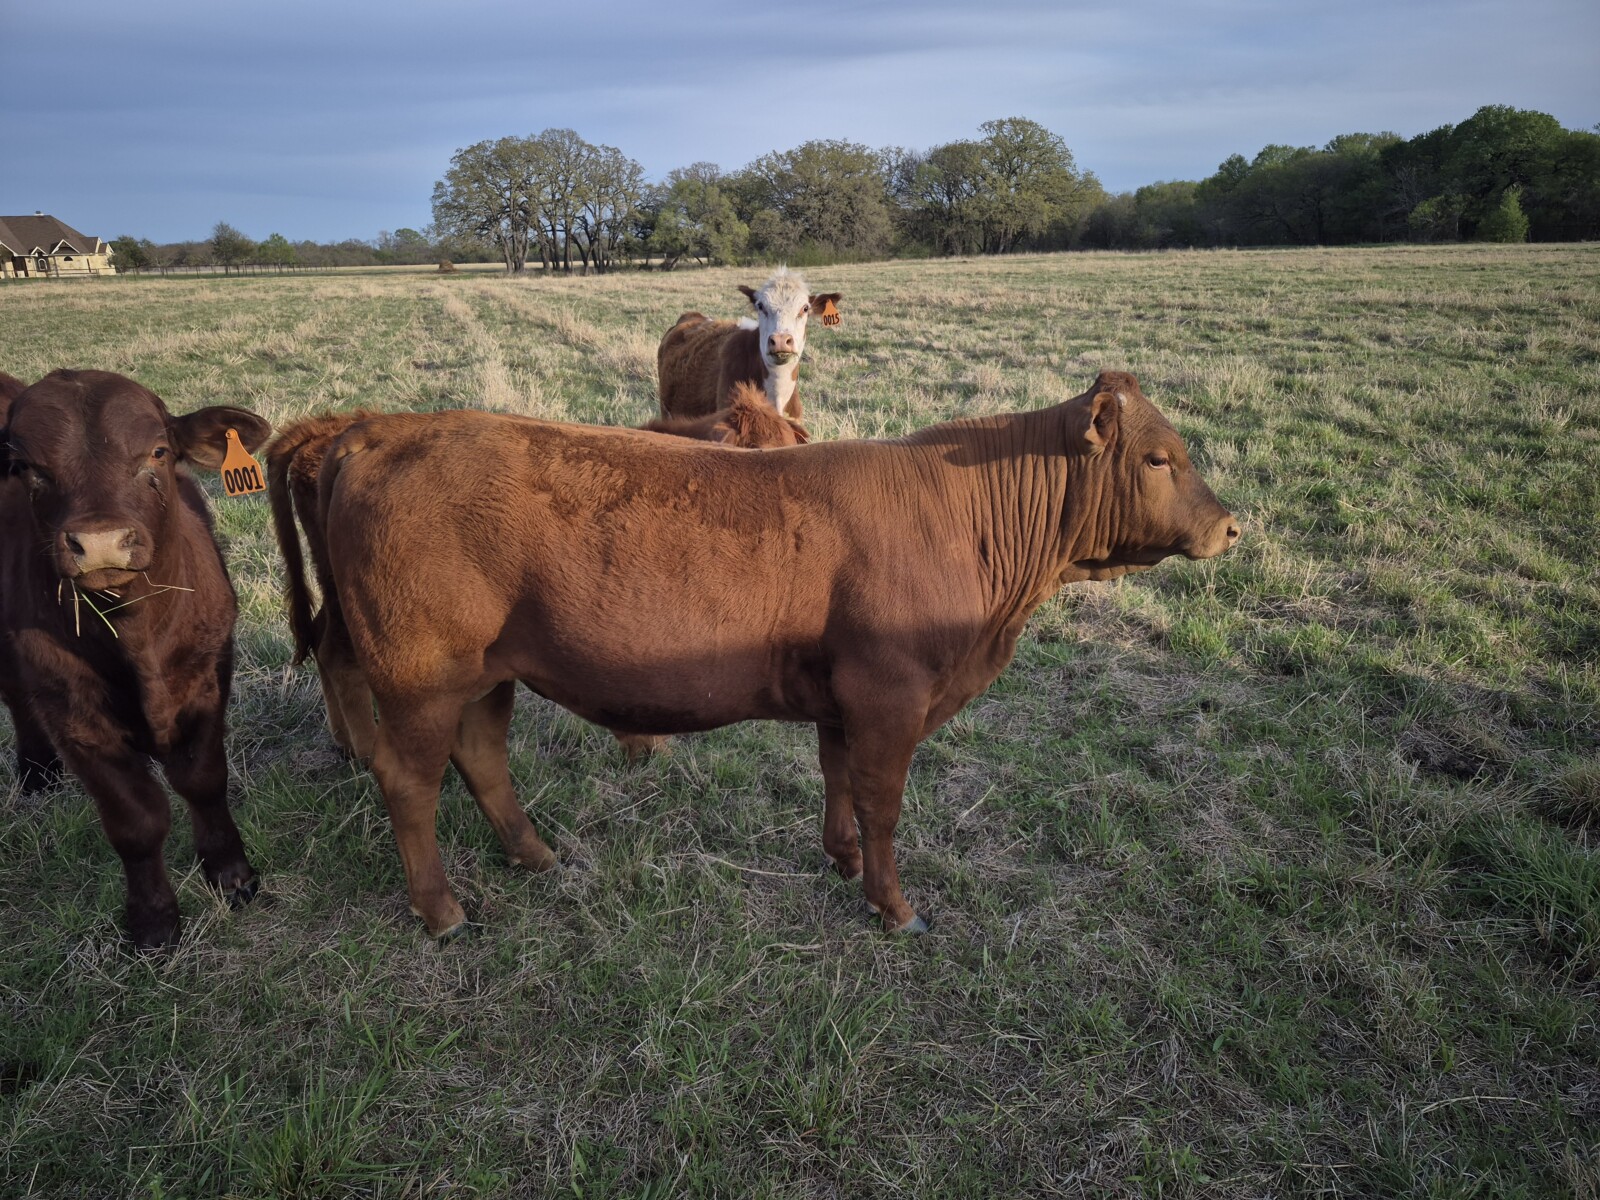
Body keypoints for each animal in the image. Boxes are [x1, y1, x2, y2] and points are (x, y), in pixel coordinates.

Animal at [0, 370, 272, 949]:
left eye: (158, 452)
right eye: (26, 467)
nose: (100, 542)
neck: (135, 636)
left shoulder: (208, 679)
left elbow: (204, 780)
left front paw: (231, 875)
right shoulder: (76, 717)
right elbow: (135, 822)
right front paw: (153, 921)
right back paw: (35, 770)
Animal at [314, 369, 1239, 939]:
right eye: (1159, 457)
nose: (1231, 525)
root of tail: (377, 433)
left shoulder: (844, 698)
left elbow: (839, 781)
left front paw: (841, 860)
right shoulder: (890, 694)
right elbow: (882, 801)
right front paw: (894, 906)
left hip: (485, 675)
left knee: (483, 757)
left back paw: (537, 857)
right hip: (421, 677)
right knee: (409, 781)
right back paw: (443, 911)